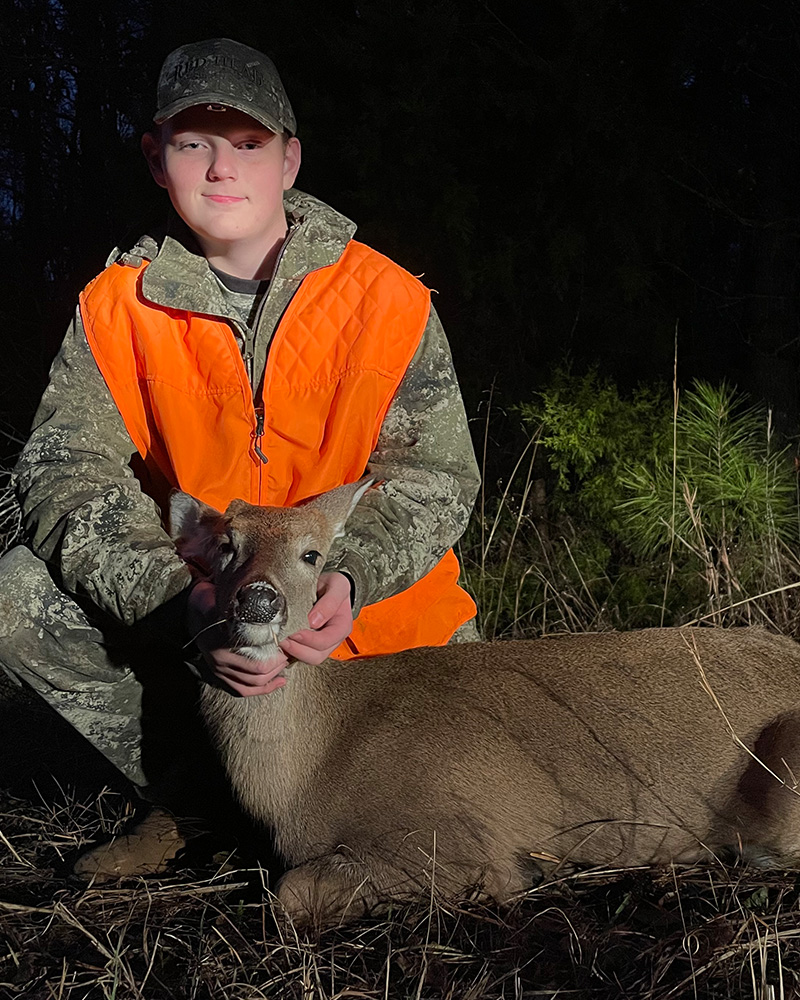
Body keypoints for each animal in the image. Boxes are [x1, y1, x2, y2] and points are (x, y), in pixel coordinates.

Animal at [170, 477, 800, 927]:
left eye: (312, 555)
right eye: (226, 546)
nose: (258, 599)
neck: (311, 769)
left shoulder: (455, 840)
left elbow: (289, 890)